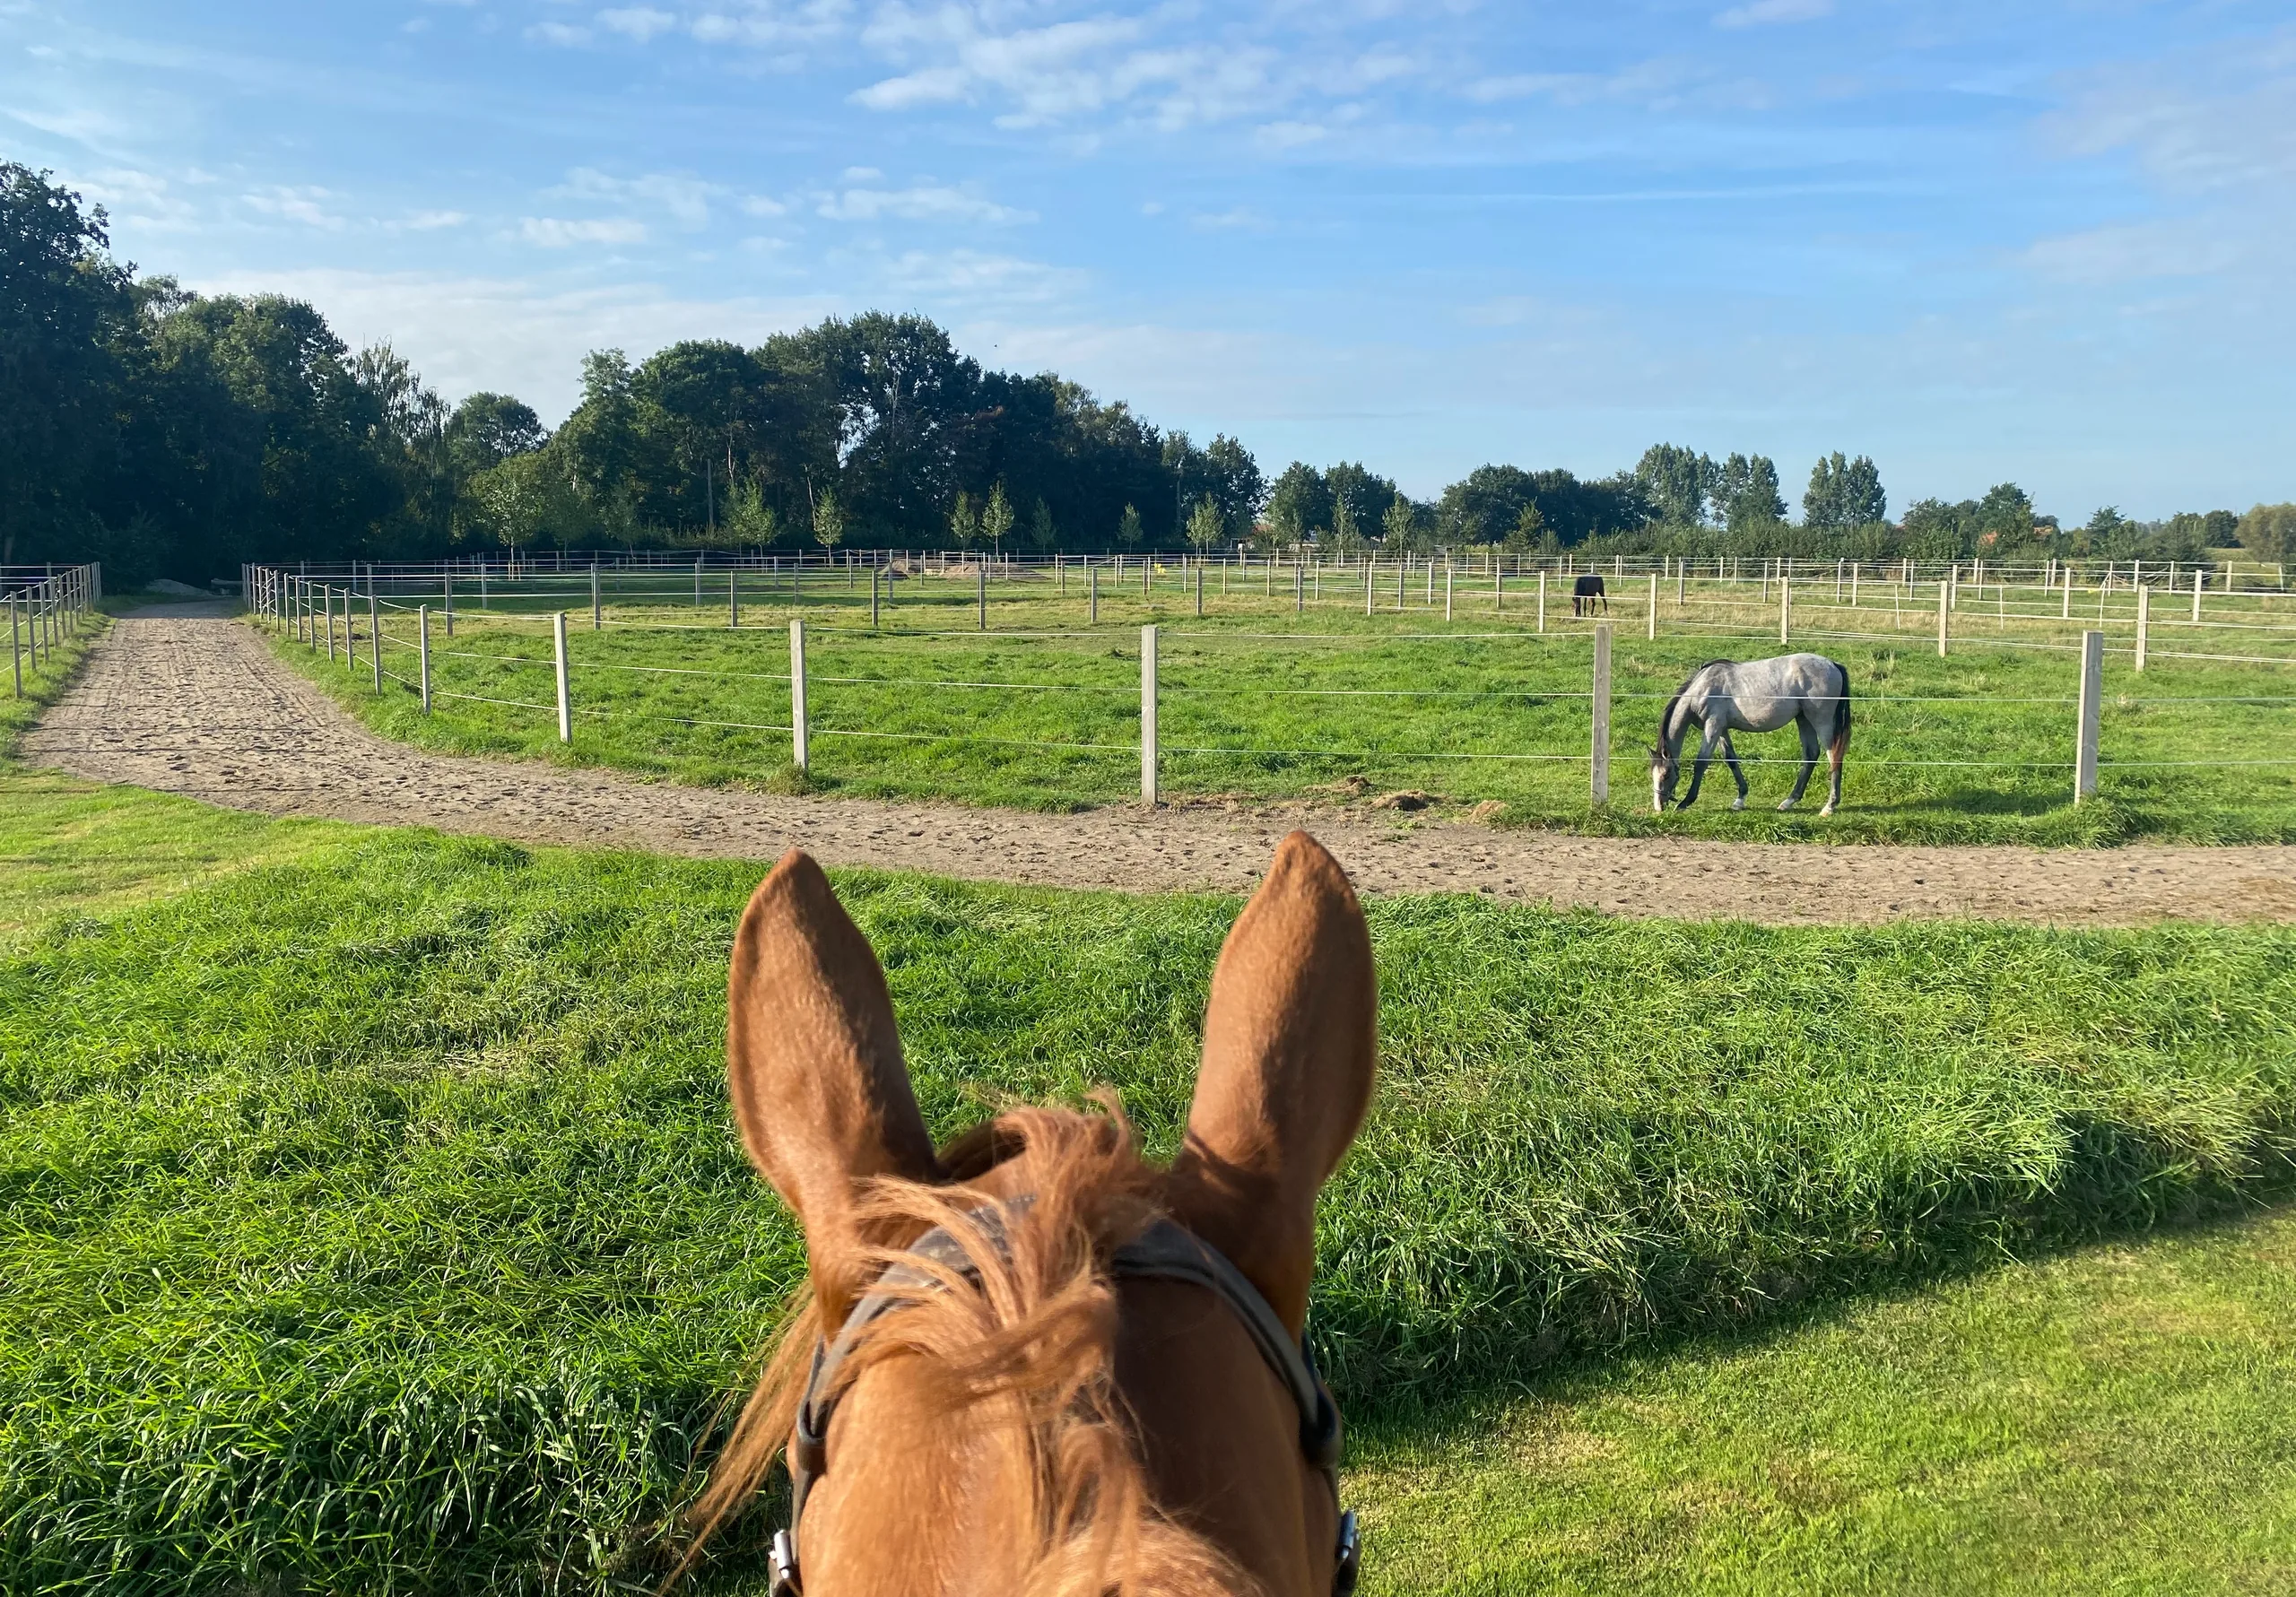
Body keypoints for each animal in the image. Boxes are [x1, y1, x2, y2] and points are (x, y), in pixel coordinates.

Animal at [1649, 653, 1852, 817]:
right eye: (1653, 774)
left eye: (1666, 774)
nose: (1658, 807)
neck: (1703, 687)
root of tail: (1833, 664)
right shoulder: (1722, 729)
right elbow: (1730, 759)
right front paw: (1740, 799)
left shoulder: (1713, 725)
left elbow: (1701, 762)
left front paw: (1685, 802)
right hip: (1803, 719)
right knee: (1810, 755)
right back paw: (1789, 802)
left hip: (1821, 721)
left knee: (1834, 757)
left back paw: (1829, 807)